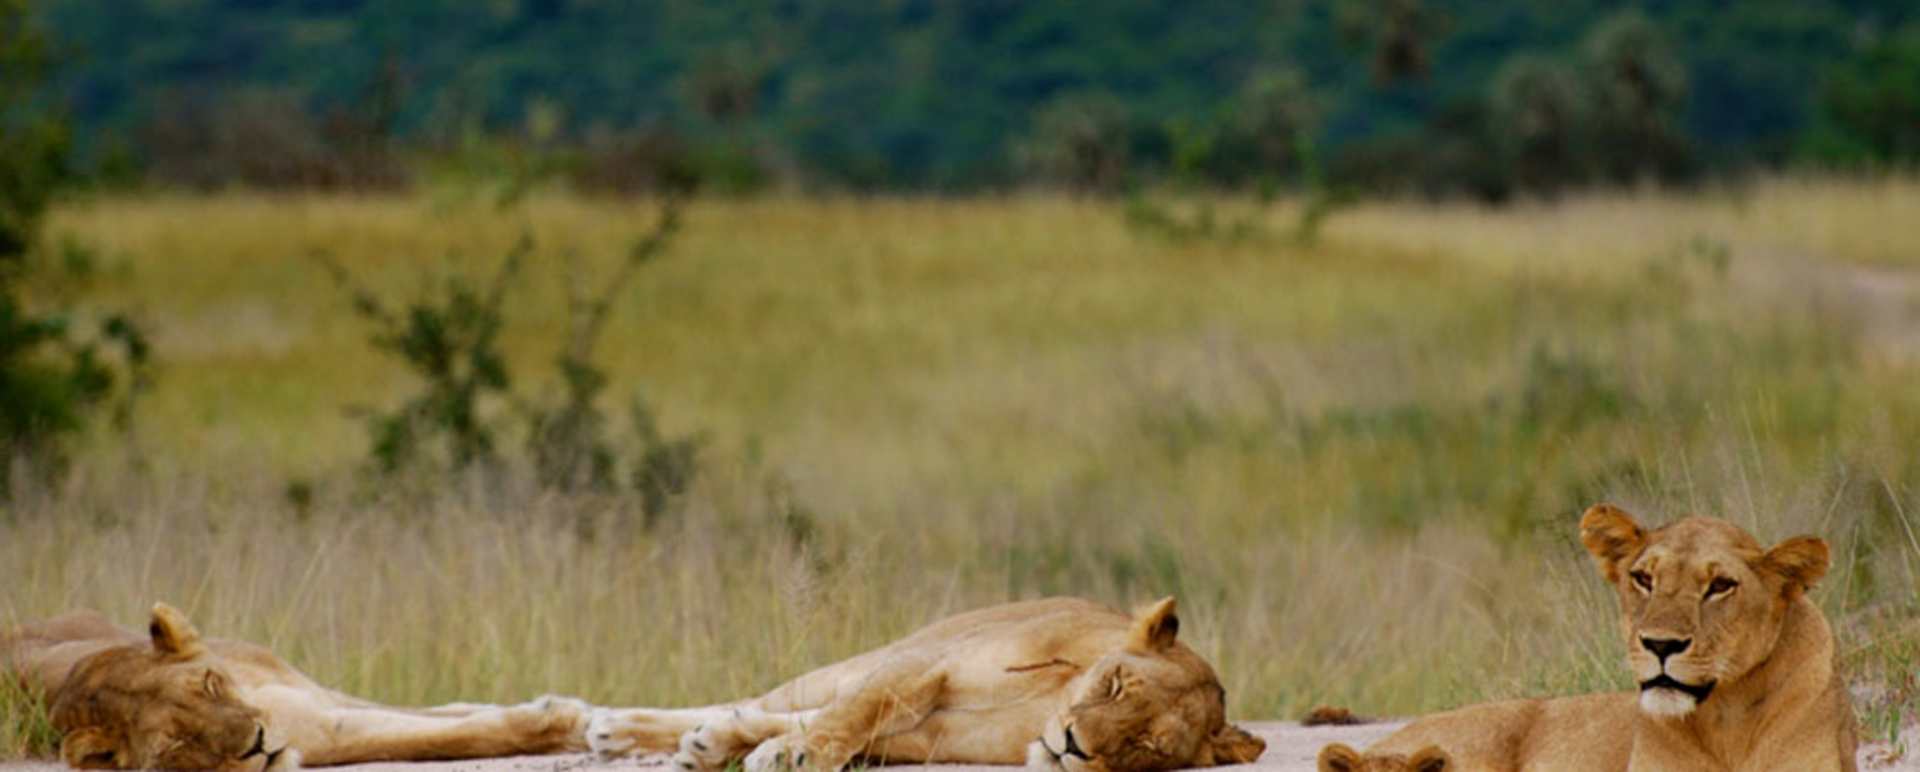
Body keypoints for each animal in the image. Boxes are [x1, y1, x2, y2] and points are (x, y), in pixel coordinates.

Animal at [1, 603, 591, 769]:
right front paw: (562, 720)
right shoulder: (322, 726)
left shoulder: (310, 702)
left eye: (210, 686)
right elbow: (444, 735)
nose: (259, 744)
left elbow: (445, 723)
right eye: (179, 745)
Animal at [586, 596, 1267, 772]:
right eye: (1118, 684)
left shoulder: (928, 739)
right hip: (859, 660)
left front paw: (774, 749)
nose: (1073, 744)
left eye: (1146, 747)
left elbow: (848, 727)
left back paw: (712, 742)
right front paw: (795, 757)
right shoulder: (927, 664)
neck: (1048, 705)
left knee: (756, 713)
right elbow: (859, 710)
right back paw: (612, 729)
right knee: (759, 701)